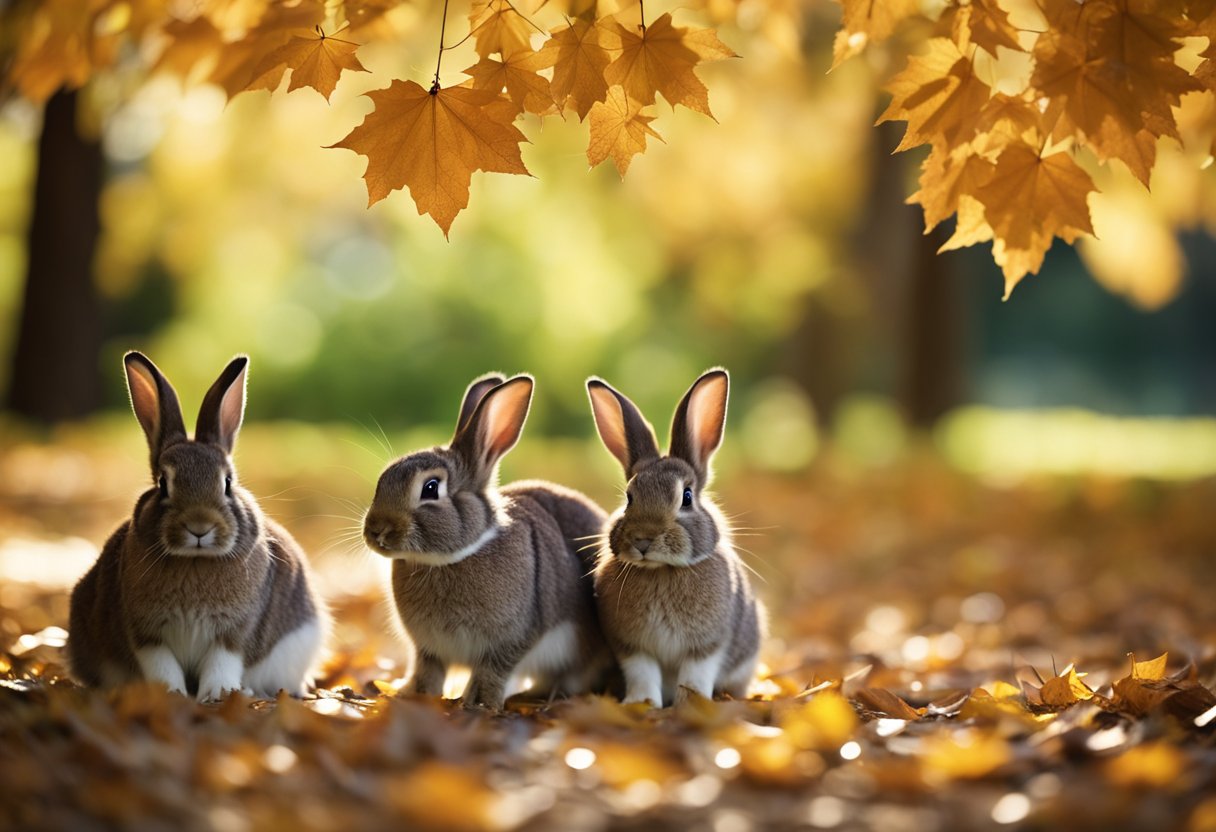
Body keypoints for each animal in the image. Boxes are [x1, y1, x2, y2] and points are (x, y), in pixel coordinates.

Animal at [67, 352, 326, 701]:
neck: (195, 560)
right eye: (163, 484)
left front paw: (219, 694)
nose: (199, 526)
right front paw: (170, 694)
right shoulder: (146, 633)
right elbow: (160, 664)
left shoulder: (234, 632)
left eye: (228, 483)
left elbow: (222, 660)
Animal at [362, 373, 612, 709]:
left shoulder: (514, 638)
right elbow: (428, 670)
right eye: (382, 480)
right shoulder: (428, 648)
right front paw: (412, 694)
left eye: (430, 488)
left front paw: (479, 703)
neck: (453, 557)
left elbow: (492, 670)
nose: (376, 531)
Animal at [586, 368, 765, 707]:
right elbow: (642, 673)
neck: (661, 571)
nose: (643, 540)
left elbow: (696, 674)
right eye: (629, 497)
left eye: (686, 497)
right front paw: (640, 704)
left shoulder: (707, 646)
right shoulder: (632, 647)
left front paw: (692, 704)